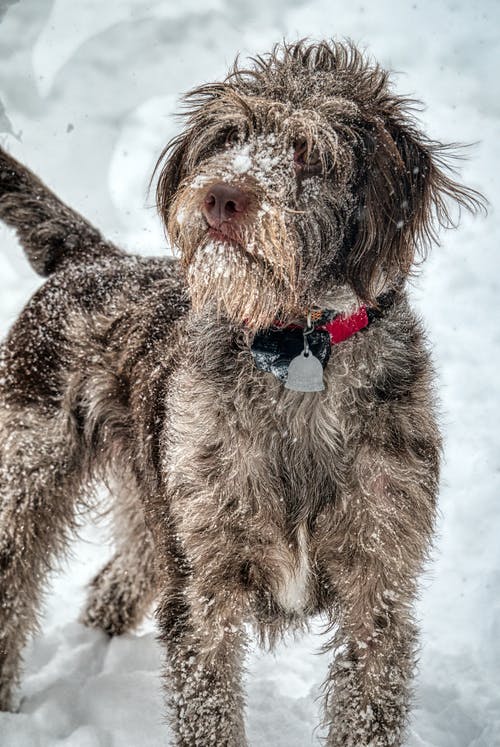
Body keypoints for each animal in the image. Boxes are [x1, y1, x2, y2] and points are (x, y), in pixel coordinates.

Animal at [0, 42, 484, 747]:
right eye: (227, 138)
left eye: (308, 151)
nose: (221, 197)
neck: (297, 346)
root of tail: (94, 260)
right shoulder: (206, 585)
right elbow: (210, 707)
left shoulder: (377, 589)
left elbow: (367, 703)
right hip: (30, 480)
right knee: (15, 585)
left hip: (152, 506)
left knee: (118, 576)